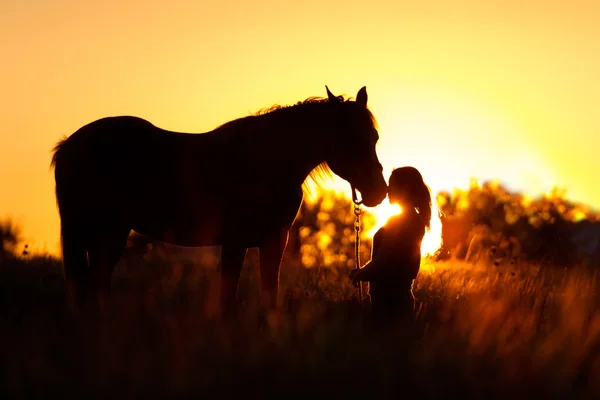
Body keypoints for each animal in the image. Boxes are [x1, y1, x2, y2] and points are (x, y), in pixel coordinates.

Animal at [52, 86, 390, 316]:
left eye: (373, 138)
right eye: (350, 139)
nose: (378, 191)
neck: (268, 162)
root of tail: (69, 145)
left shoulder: (274, 241)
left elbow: (269, 294)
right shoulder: (235, 241)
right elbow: (228, 297)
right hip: (105, 232)